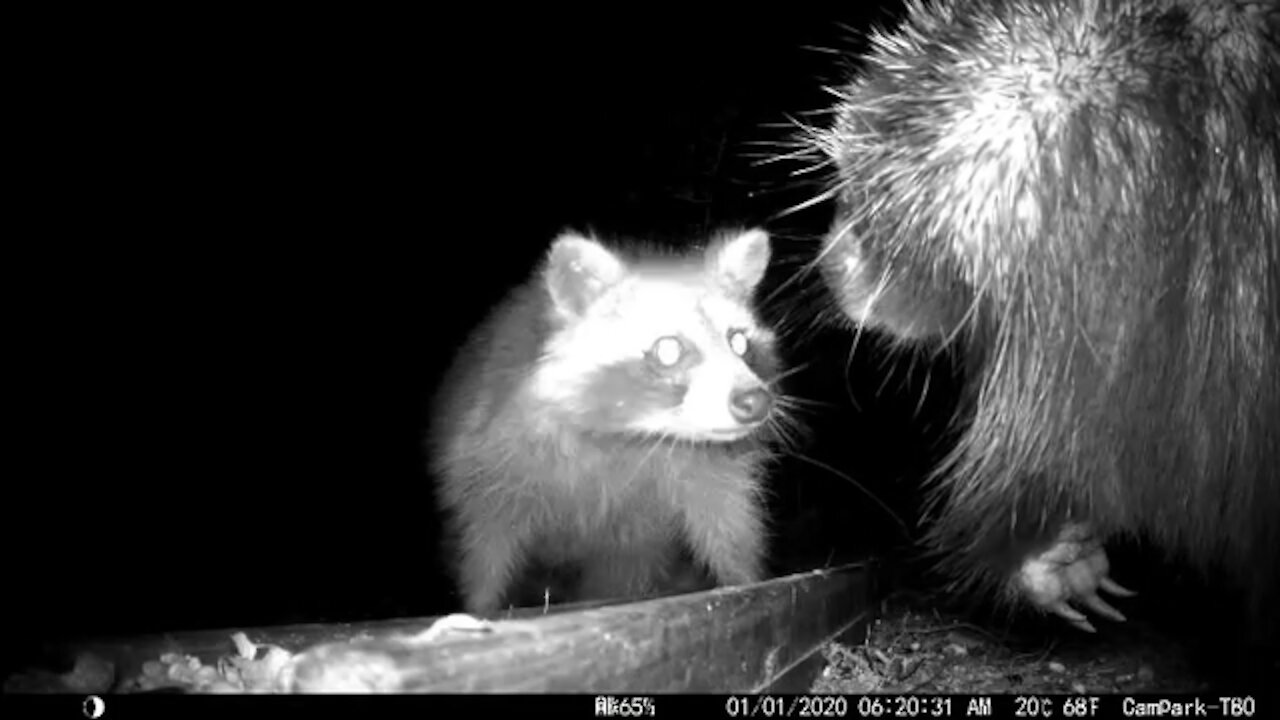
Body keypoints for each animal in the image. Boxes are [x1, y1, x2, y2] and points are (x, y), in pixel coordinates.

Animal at [430, 226, 778, 614]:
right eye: (668, 349)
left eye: (740, 343)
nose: (756, 401)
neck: (635, 434)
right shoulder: (488, 455)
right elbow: (486, 546)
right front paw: (481, 604)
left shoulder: (701, 467)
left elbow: (726, 516)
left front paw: (743, 577)